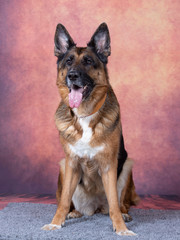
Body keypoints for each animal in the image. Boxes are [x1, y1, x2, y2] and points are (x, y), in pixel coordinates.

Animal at [42, 23, 139, 236]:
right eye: (68, 61)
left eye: (88, 61)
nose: (72, 76)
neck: (84, 115)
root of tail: (95, 207)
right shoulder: (71, 163)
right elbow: (63, 201)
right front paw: (56, 222)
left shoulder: (109, 165)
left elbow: (113, 204)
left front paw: (121, 227)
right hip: (63, 166)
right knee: (71, 202)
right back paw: (75, 213)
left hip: (127, 166)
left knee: (120, 203)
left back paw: (125, 214)